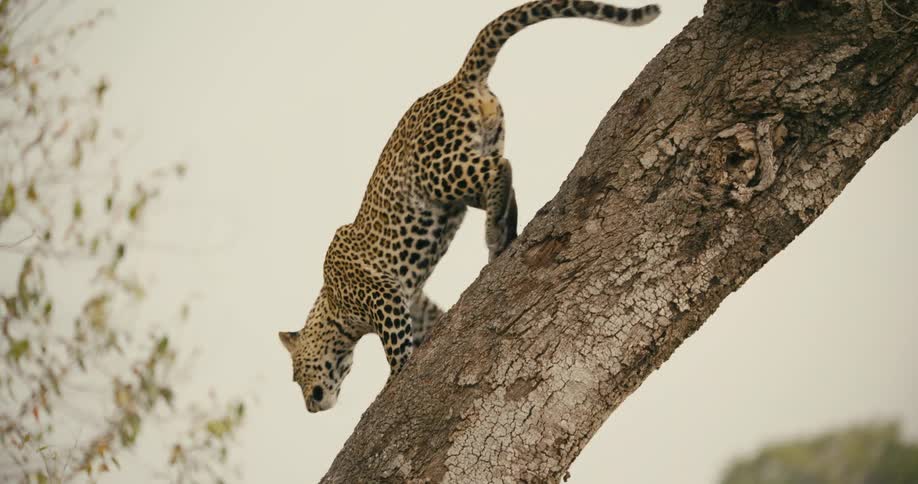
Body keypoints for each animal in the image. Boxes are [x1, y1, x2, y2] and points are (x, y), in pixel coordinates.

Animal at [279, 0, 661, 412]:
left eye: (296, 376)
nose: (310, 406)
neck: (331, 308)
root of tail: (456, 81)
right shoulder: (411, 298)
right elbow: (427, 322)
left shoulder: (383, 295)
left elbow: (395, 345)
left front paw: (395, 377)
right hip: (472, 161)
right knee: (501, 173)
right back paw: (503, 231)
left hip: (438, 171)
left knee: (500, 169)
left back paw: (495, 233)